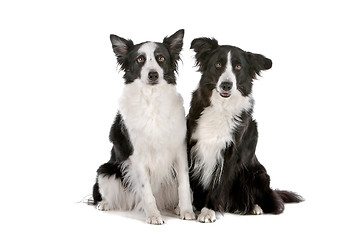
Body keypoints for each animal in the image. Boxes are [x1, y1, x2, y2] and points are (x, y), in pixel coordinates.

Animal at [91, 30, 195, 225]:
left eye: (161, 58)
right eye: (140, 59)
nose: (153, 74)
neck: (152, 99)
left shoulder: (179, 149)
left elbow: (184, 184)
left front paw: (187, 210)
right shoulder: (137, 155)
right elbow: (146, 190)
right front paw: (153, 215)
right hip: (105, 171)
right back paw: (105, 204)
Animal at [187, 37, 302, 223]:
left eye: (238, 67)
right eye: (218, 65)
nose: (226, 85)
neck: (222, 107)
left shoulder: (229, 153)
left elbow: (218, 184)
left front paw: (208, 210)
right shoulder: (193, 146)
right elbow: (191, 181)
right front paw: (190, 207)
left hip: (257, 174)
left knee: (273, 203)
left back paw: (255, 207)